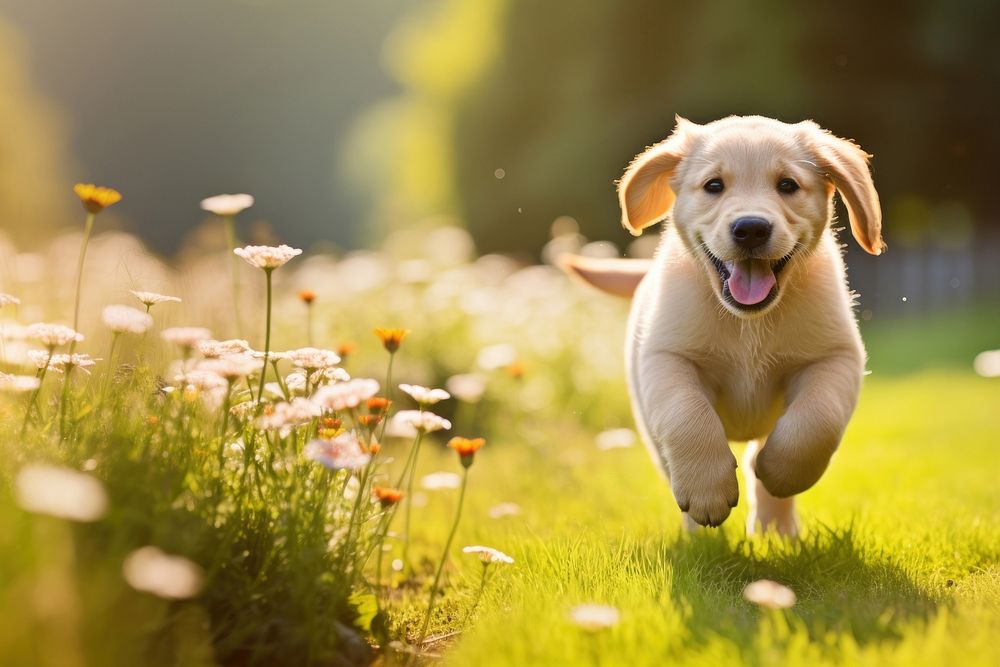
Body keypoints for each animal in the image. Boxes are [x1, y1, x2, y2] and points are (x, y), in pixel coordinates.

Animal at [564, 116, 884, 536]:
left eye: (788, 185)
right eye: (714, 186)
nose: (751, 228)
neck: (747, 323)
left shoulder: (834, 356)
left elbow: (817, 421)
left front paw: (781, 473)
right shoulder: (667, 357)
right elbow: (687, 416)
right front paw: (706, 493)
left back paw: (776, 532)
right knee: (671, 463)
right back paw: (700, 536)